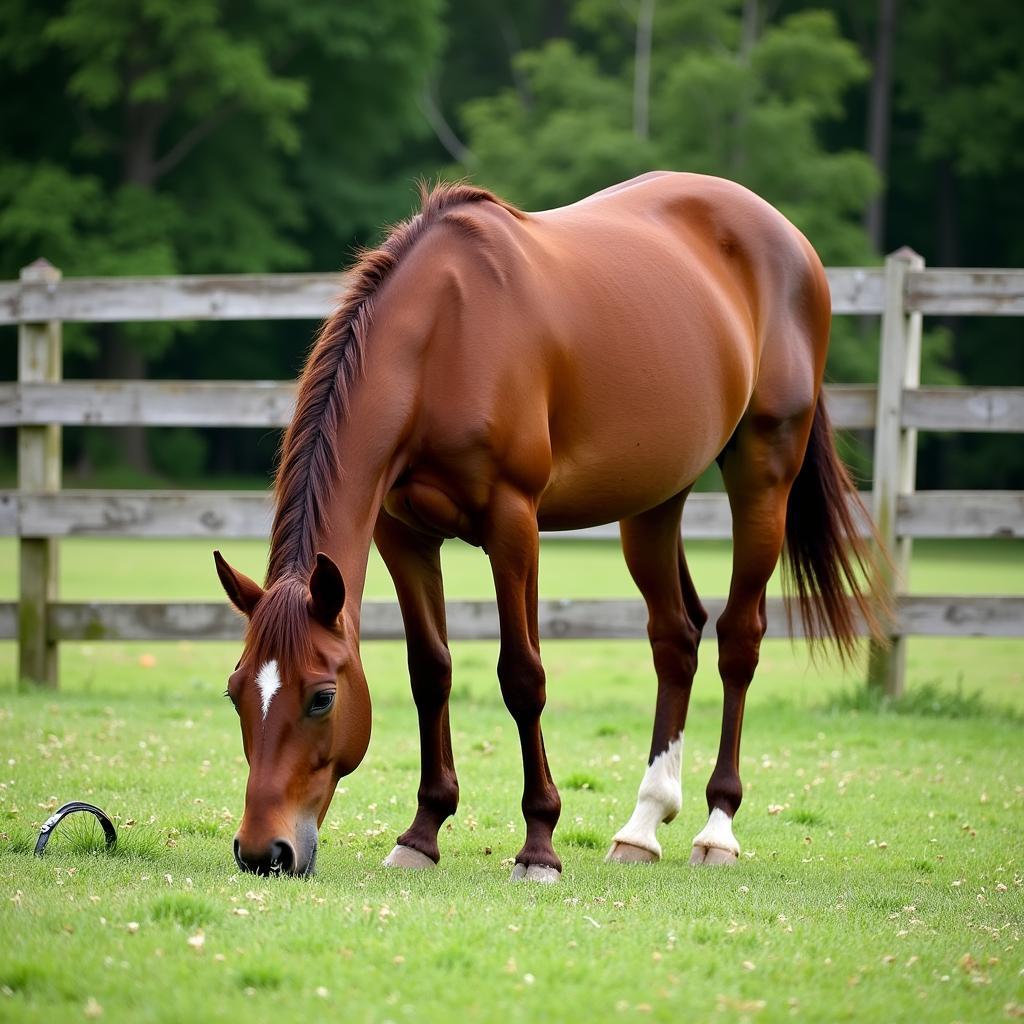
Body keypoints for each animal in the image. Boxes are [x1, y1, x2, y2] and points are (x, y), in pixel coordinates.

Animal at [214, 169, 880, 880]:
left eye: (322, 697)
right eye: (235, 693)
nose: (264, 851)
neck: (445, 336)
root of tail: (788, 239)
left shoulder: (514, 524)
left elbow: (522, 676)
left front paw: (539, 846)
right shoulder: (403, 534)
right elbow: (431, 670)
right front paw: (422, 834)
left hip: (763, 477)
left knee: (739, 639)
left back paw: (717, 829)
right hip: (653, 501)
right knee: (676, 637)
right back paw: (642, 827)